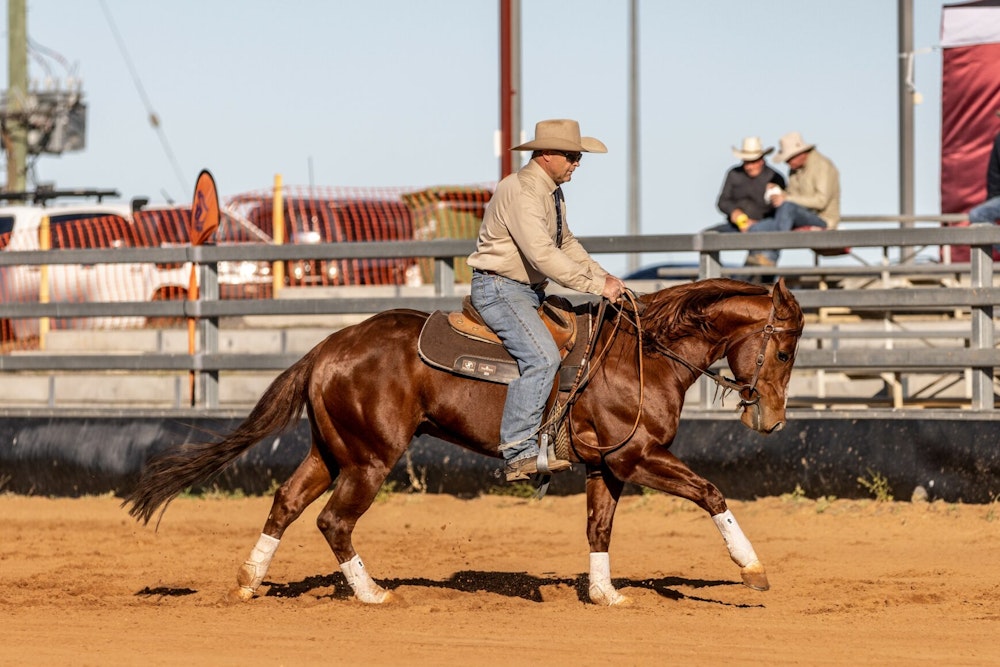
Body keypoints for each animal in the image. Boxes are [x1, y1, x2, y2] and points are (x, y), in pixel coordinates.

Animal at [125, 276, 804, 604]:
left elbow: (599, 527)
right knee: (334, 522)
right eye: (786, 348)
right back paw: (372, 594)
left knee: (286, 504)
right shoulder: (637, 457)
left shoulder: (607, 467)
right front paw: (753, 570)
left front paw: (606, 594)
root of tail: (327, 347)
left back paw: (249, 580)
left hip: (332, 450)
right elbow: (710, 492)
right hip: (371, 460)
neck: (642, 355)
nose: (771, 420)